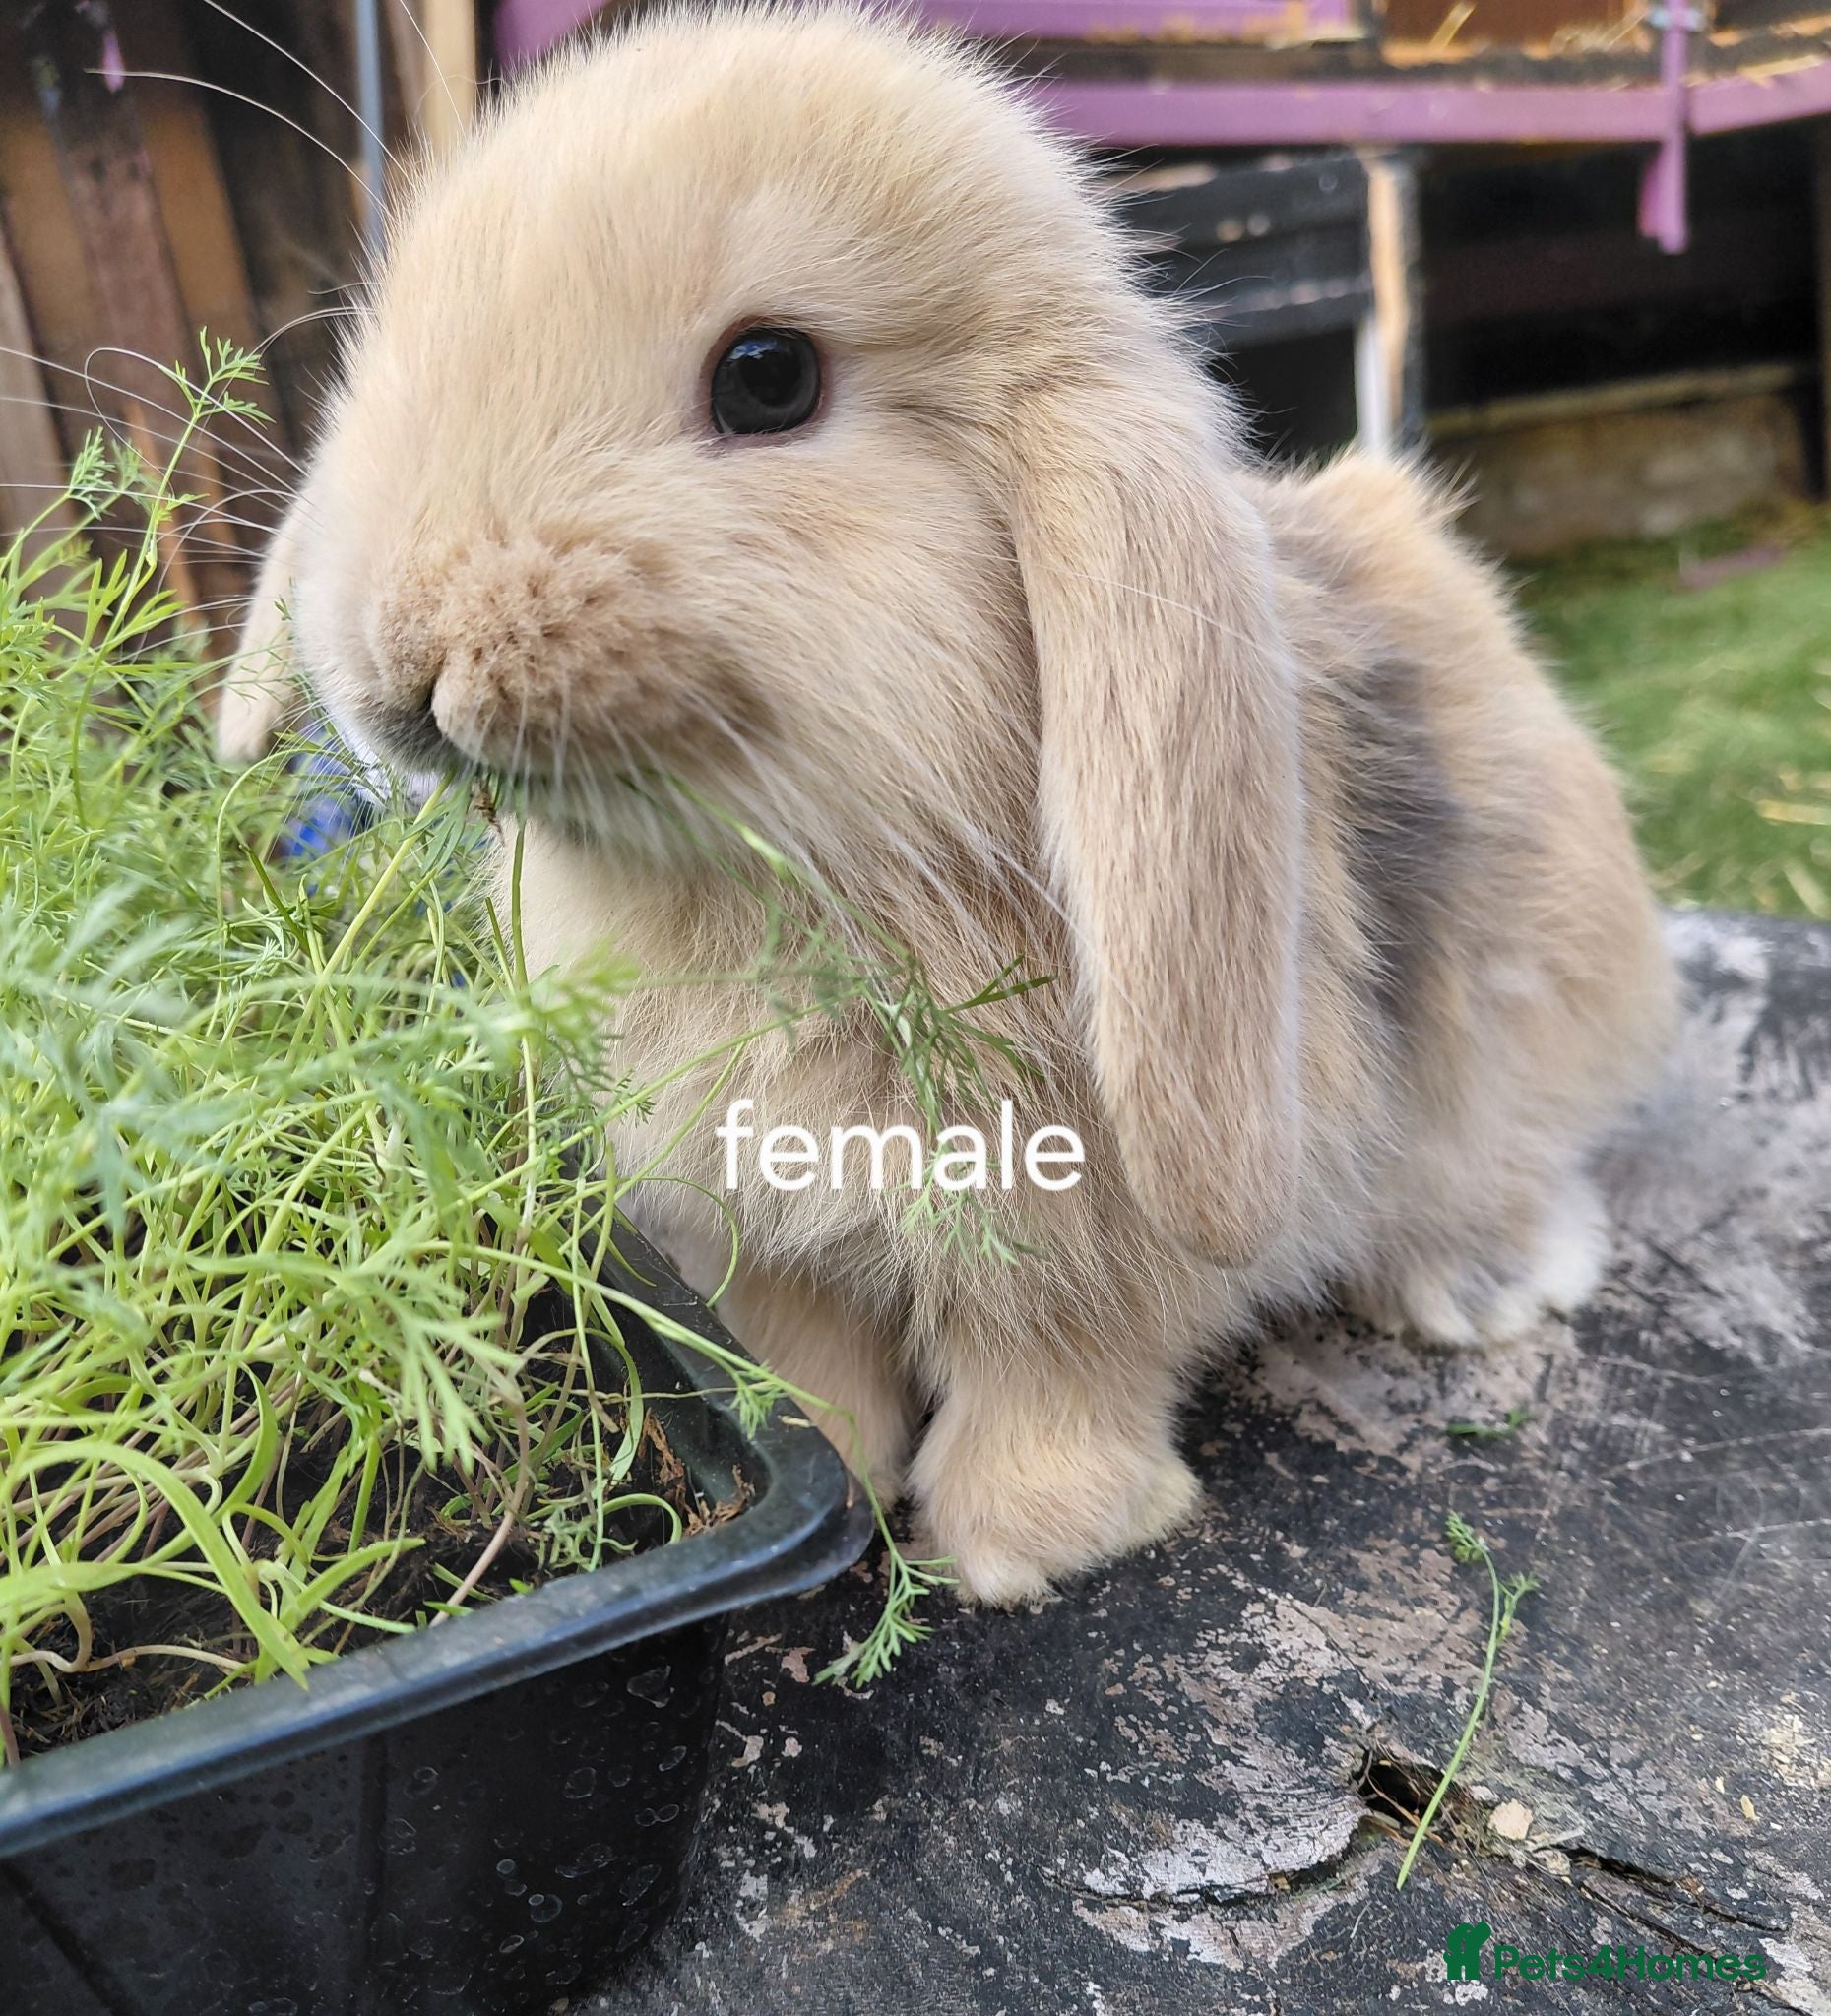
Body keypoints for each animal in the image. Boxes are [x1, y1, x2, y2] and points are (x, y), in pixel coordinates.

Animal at [220, 3, 1675, 1605]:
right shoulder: (752, 1235)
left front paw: (1019, 1542)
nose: (403, 649)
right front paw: (846, 1479)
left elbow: (1056, 1367)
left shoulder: (1081, 1242)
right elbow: (806, 1368)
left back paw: (1481, 1286)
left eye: (769, 376)